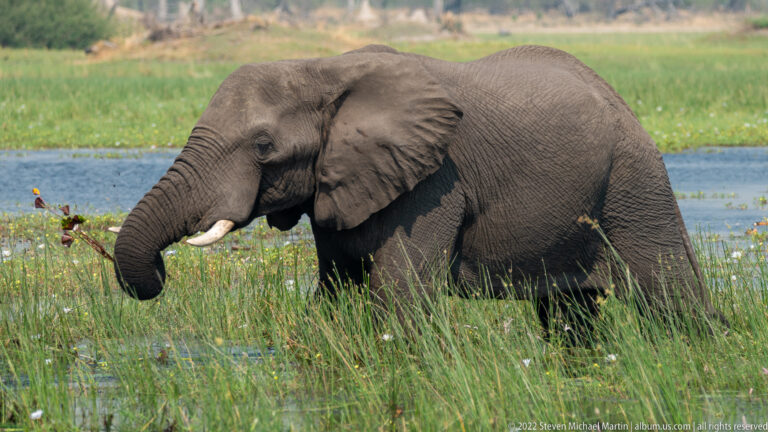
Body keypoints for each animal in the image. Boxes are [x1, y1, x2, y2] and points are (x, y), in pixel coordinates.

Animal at [113, 44, 725, 335]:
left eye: (263, 146)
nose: (160, 272)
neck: (323, 68)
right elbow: (336, 289)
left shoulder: (434, 182)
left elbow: (398, 295)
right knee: (569, 315)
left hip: (634, 181)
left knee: (673, 297)